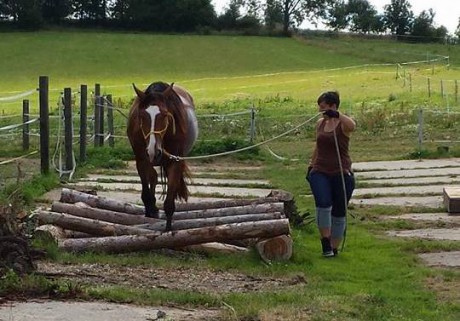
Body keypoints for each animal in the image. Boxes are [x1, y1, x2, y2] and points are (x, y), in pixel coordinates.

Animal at [126, 80, 199, 230]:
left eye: (165, 115)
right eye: (141, 116)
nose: (153, 150)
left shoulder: (175, 161)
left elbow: (169, 203)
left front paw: (168, 229)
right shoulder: (141, 160)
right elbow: (147, 191)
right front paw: (151, 210)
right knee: (153, 177)